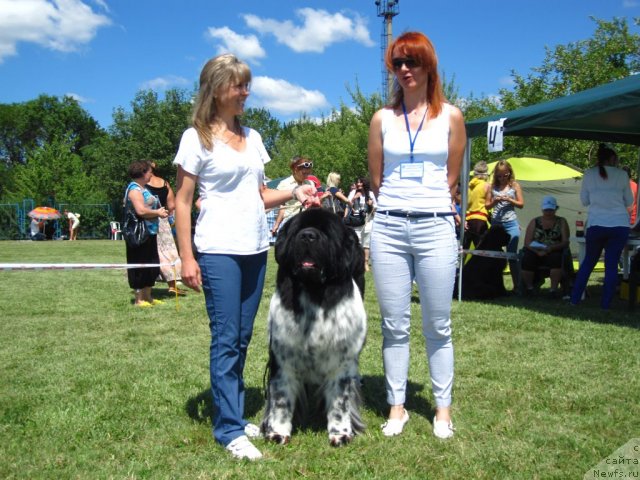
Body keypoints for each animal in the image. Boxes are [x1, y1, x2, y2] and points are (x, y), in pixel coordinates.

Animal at [258, 206, 364, 446]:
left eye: (327, 232)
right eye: (298, 229)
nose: (308, 235)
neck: (314, 293)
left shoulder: (342, 363)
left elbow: (340, 402)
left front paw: (340, 433)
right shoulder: (282, 358)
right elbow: (281, 399)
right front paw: (278, 432)